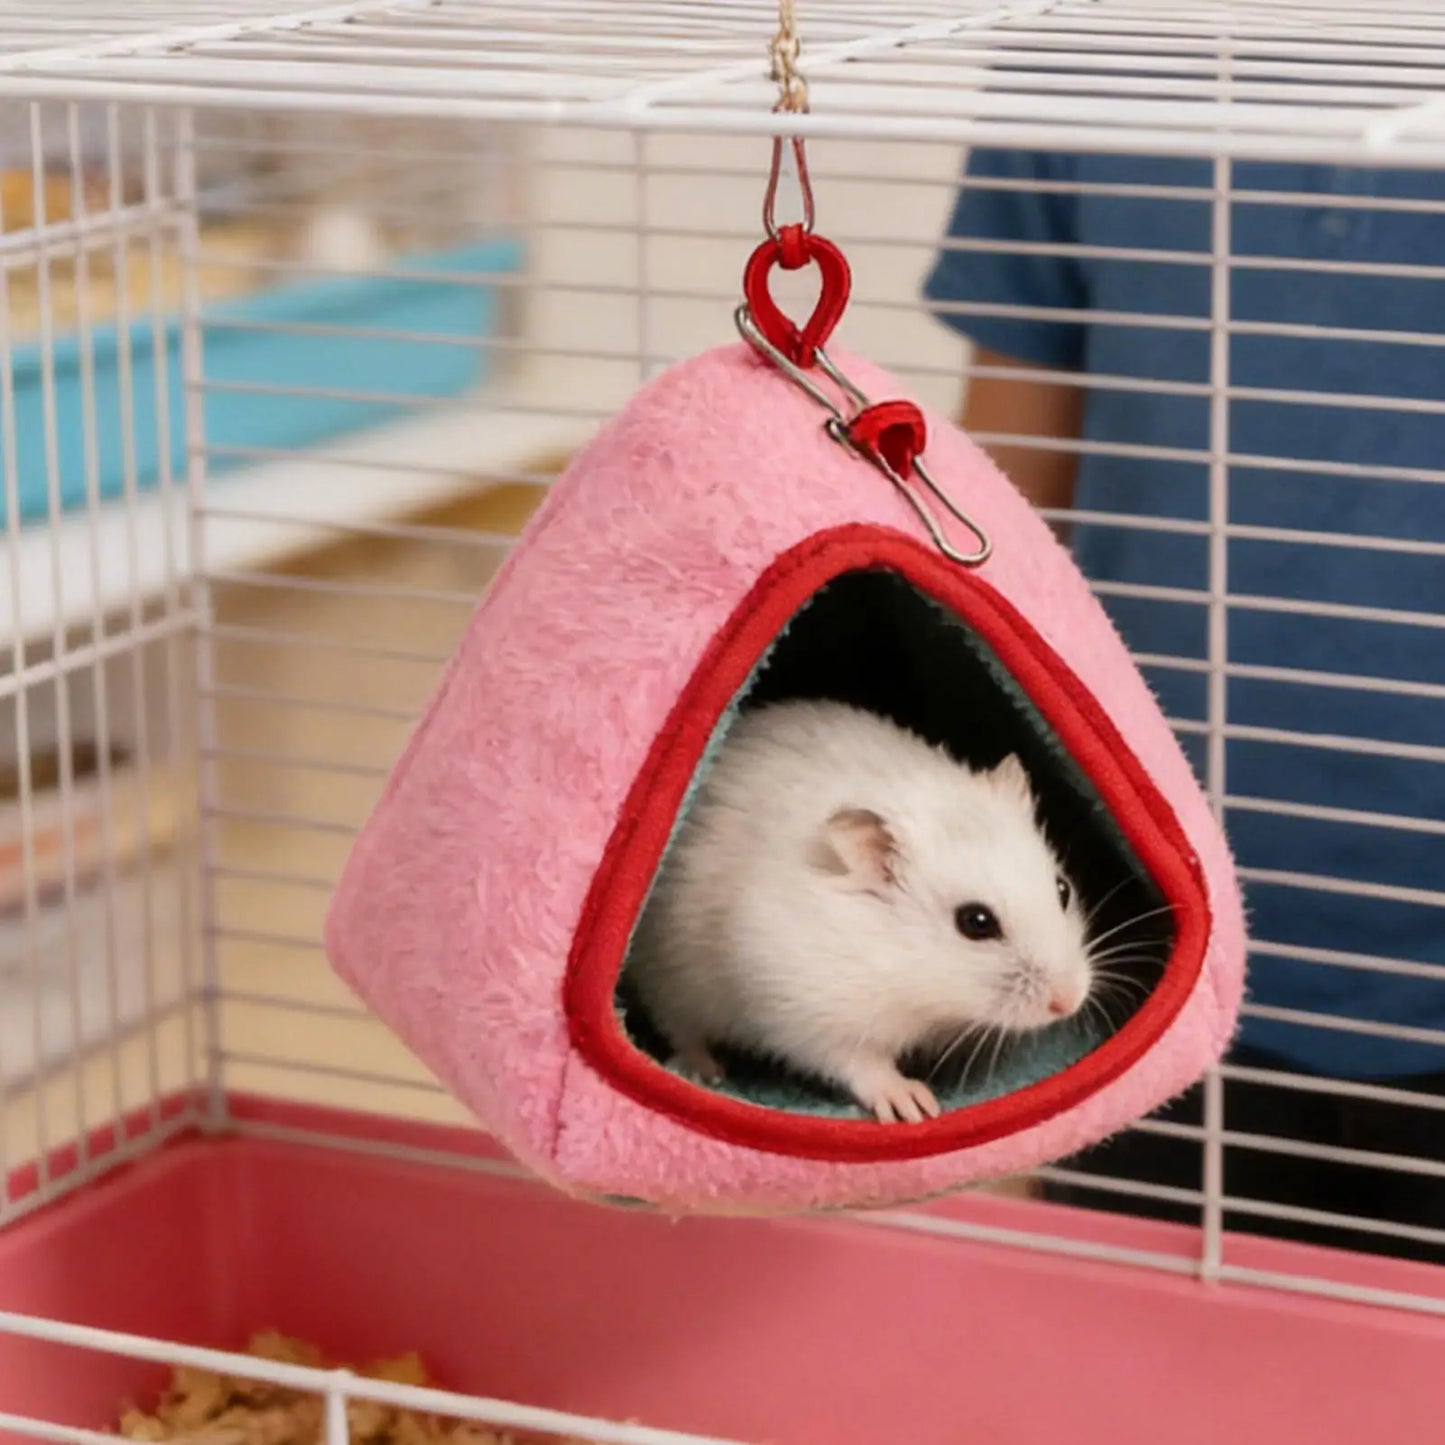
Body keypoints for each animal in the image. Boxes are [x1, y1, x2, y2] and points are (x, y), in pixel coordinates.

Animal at [626, 699, 1092, 1124]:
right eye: (975, 923)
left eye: (1063, 889)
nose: (1068, 1002)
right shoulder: (806, 1008)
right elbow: (858, 1061)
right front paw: (914, 1105)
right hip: (669, 975)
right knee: (678, 1026)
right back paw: (704, 1072)